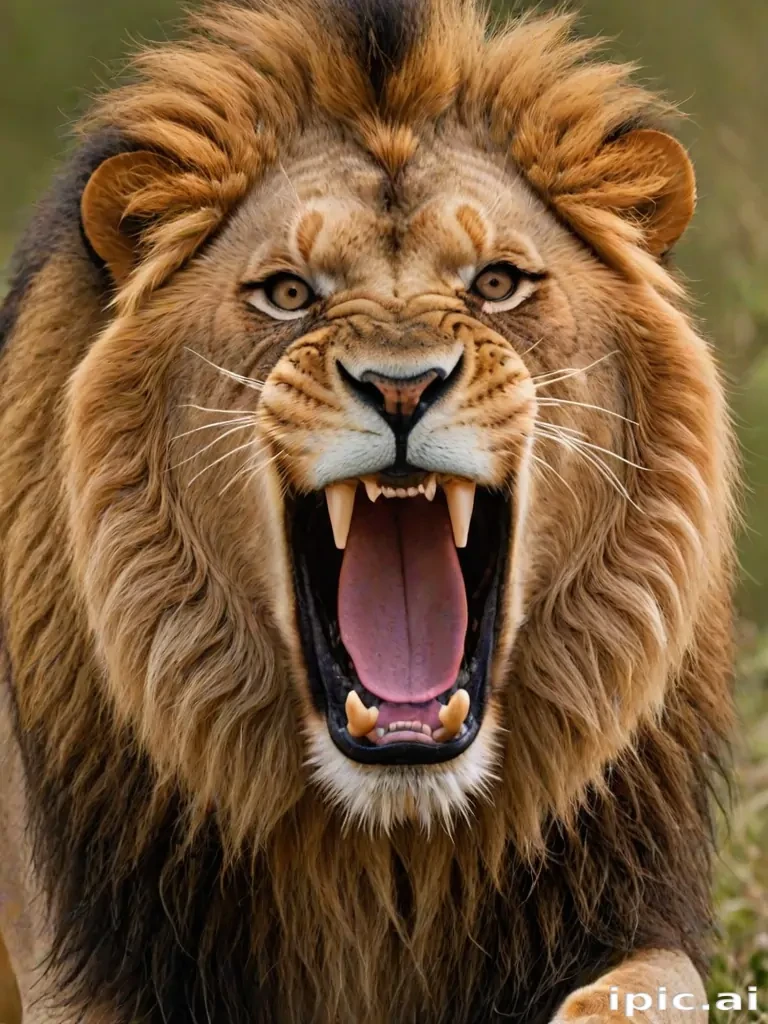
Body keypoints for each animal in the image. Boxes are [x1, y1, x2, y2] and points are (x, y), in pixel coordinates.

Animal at [0, 0, 736, 1021]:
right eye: (288, 293)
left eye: (496, 282)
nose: (401, 387)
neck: (386, 841)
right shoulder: (89, 965)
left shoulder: (634, 911)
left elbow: (648, 988)